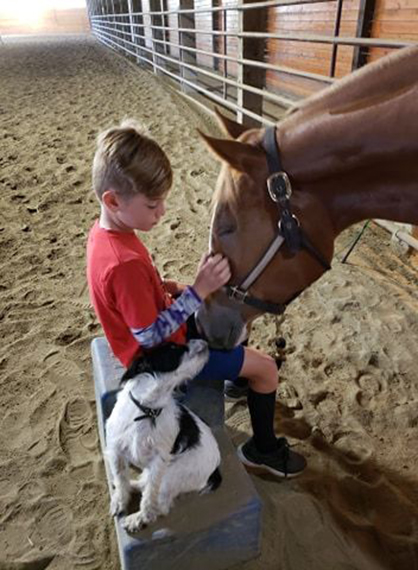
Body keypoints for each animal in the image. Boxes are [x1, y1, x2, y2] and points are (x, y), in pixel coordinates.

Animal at [106, 340, 220, 532]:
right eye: (174, 348)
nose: (204, 341)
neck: (147, 411)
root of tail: (216, 470)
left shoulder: (159, 462)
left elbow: (150, 495)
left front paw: (140, 517)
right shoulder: (116, 450)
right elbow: (121, 479)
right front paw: (120, 500)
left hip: (171, 474)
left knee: (160, 504)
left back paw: (137, 518)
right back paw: (131, 485)